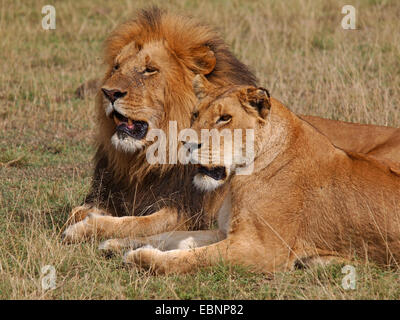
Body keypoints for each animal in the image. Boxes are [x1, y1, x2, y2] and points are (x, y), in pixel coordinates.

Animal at [62, 6, 400, 242]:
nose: (108, 92)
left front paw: (83, 229)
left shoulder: (191, 212)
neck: (149, 162)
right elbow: (80, 210)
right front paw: (81, 218)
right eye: (116, 67)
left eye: (149, 70)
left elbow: (138, 223)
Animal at [121, 76, 400, 274]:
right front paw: (120, 244)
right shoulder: (225, 232)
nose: (186, 143)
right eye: (195, 114)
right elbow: (167, 237)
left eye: (225, 118)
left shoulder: (261, 249)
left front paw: (140, 258)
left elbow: (192, 259)